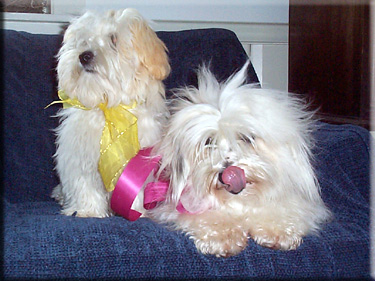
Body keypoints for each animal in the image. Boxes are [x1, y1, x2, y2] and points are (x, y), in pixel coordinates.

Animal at [51, 8, 170, 218]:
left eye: (114, 39)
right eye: (83, 40)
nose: (84, 56)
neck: (108, 107)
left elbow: (137, 191)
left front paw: (137, 211)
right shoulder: (80, 158)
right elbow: (85, 185)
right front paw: (88, 211)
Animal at [150, 61, 332, 256]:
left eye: (246, 138)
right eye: (209, 142)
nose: (228, 172)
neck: (240, 201)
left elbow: (278, 210)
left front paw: (278, 232)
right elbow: (211, 218)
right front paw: (224, 237)